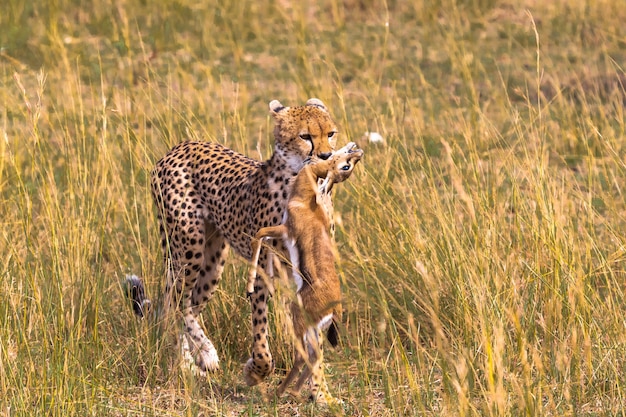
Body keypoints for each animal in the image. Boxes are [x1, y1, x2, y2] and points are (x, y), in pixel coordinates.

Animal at [148, 96, 338, 380]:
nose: (326, 156)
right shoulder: (262, 269)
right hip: (189, 250)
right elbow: (260, 326)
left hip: (212, 262)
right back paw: (197, 358)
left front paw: (316, 380)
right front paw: (258, 368)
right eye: (305, 136)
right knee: (177, 302)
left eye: (330, 134)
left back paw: (194, 358)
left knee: (189, 302)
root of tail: (179, 147)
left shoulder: (311, 270)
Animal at [247, 142, 360, 400]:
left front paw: (249, 285)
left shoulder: (284, 228)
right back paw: (296, 392)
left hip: (299, 320)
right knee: (315, 356)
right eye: (347, 166)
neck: (306, 199)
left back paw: (278, 392)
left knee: (301, 355)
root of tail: (335, 309)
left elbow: (258, 235)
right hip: (313, 330)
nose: (358, 151)